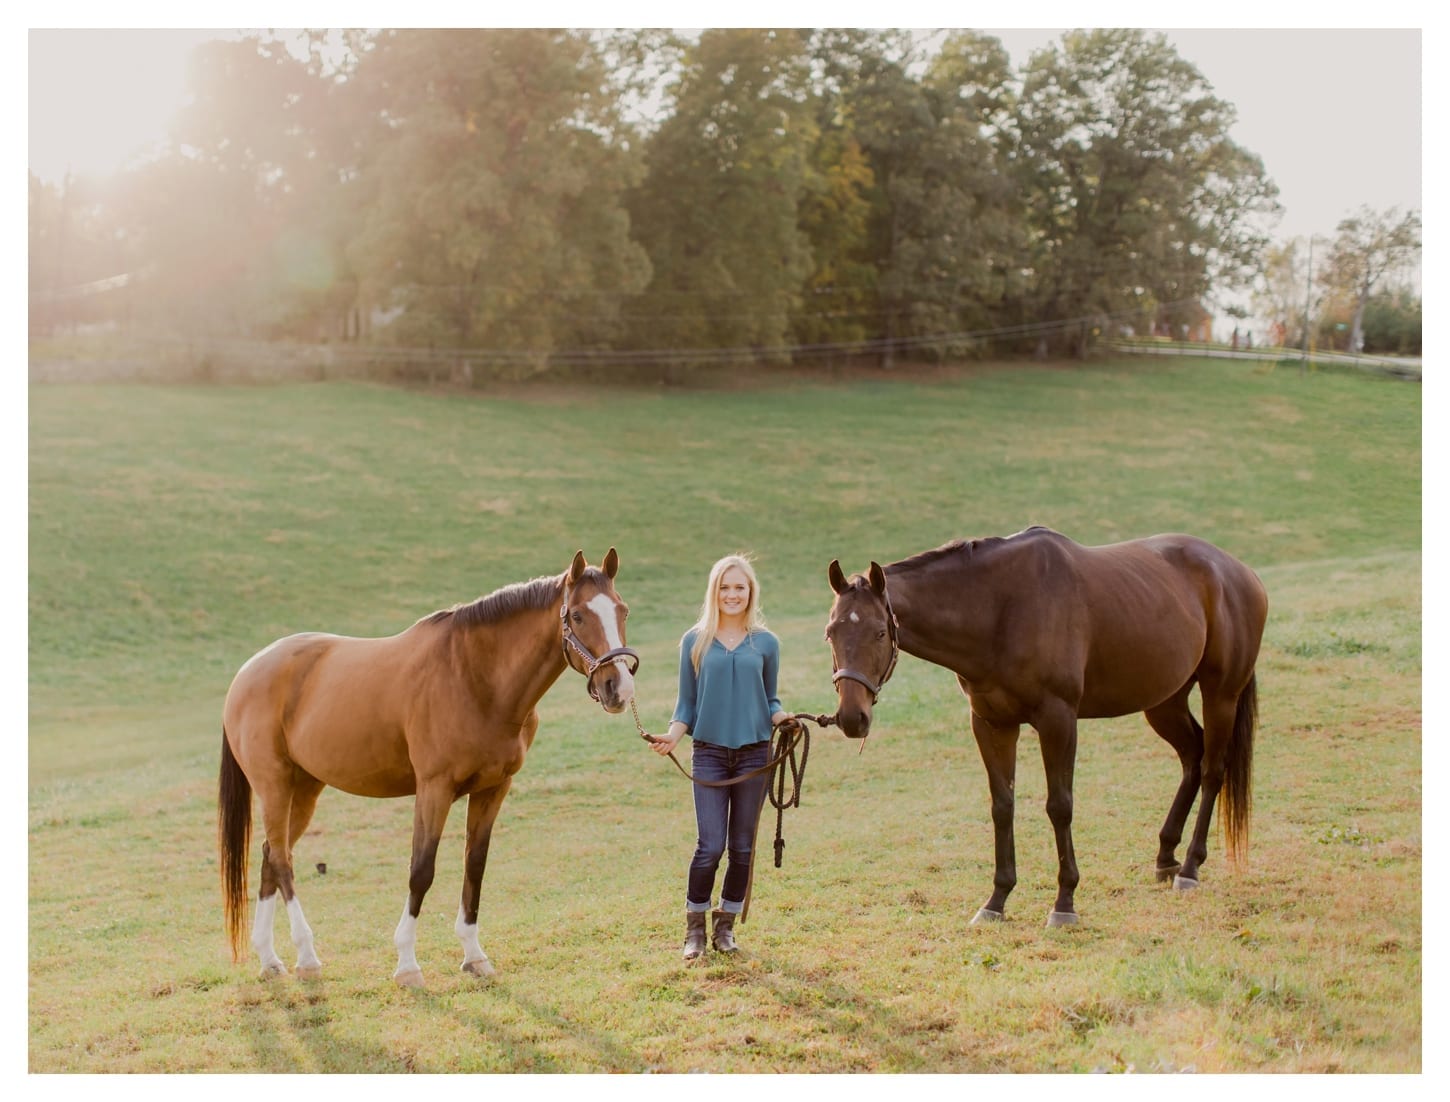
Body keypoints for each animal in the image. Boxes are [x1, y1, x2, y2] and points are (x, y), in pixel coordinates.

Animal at [217, 548, 638, 986]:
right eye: (578, 615)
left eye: (622, 610)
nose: (619, 688)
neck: (474, 677)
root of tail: (246, 674)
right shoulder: (434, 789)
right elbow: (421, 870)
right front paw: (407, 964)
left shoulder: (493, 788)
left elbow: (475, 865)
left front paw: (474, 956)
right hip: (274, 786)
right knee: (283, 861)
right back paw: (307, 956)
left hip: (304, 790)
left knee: (270, 855)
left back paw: (270, 959)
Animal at [829, 530, 1270, 928]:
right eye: (831, 633)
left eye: (880, 632)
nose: (852, 718)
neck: (1000, 609)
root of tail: (1239, 572)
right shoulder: (992, 724)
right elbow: (1002, 806)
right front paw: (997, 899)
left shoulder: (1058, 720)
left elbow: (1060, 805)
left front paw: (1064, 902)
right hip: (1165, 702)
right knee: (1193, 758)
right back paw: (1166, 857)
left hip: (1220, 695)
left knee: (1212, 771)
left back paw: (1190, 868)